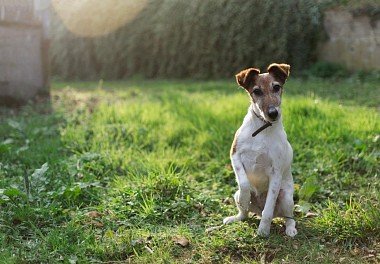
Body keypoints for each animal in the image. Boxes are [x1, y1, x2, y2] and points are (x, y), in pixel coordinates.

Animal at [223, 63, 296, 237]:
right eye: (256, 91)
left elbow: (268, 209)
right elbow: (243, 182)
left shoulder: (276, 172)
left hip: (286, 198)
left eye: (276, 87)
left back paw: (290, 229)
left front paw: (263, 230)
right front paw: (245, 198)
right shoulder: (235, 155)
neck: (263, 129)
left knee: (288, 216)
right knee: (244, 213)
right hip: (237, 195)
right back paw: (236, 217)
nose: (273, 113)